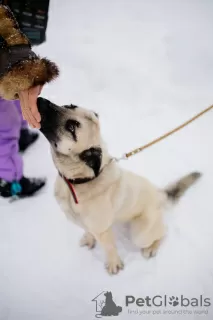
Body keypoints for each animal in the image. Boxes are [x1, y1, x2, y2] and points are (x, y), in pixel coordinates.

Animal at [36, 97, 201, 276]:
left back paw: (151, 248)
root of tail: (160, 194)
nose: (41, 100)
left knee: (163, 232)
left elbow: (109, 249)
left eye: (72, 126)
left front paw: (114, 264)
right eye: (69, 105)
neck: (79, 181)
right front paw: (88, 239)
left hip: (140, 234)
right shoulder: (82, 222)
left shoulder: (102, 230)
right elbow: (87, 231)